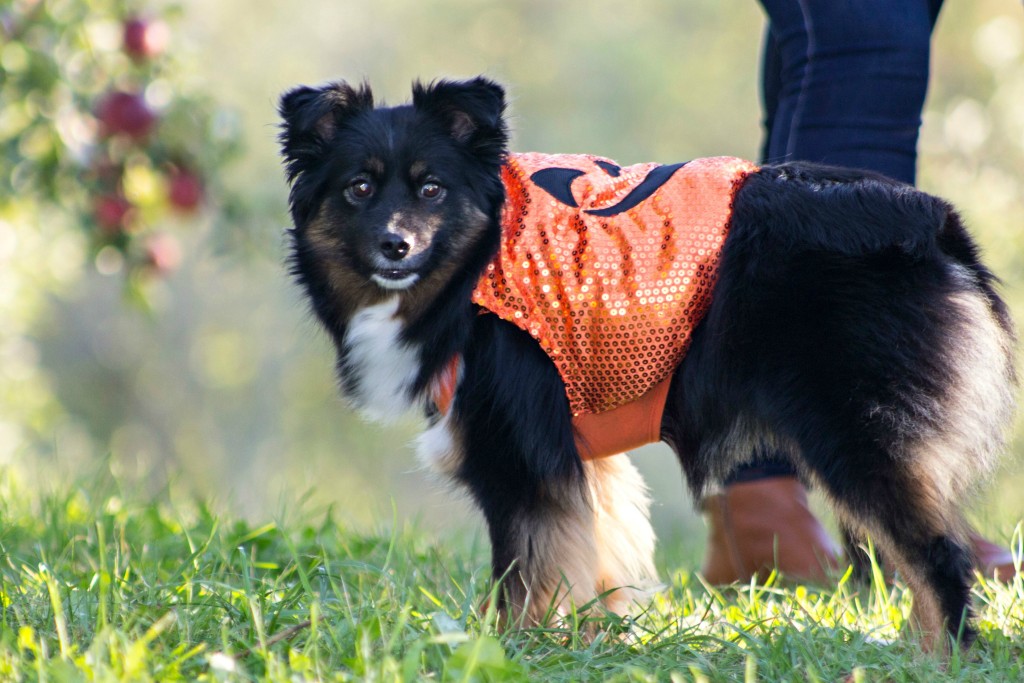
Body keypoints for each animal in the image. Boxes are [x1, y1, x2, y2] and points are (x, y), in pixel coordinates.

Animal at [278, 77, 1015, 651]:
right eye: (358, 188)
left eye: (431, 190)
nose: (394, 244)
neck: (478, 263)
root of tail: (932, 219)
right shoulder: (578, 456)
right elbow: (594, 553)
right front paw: (594, 636)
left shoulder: (520, 457)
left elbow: (524, 575)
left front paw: (515, 648)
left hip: (852, 431)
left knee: (937, 556)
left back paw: (941, 656)